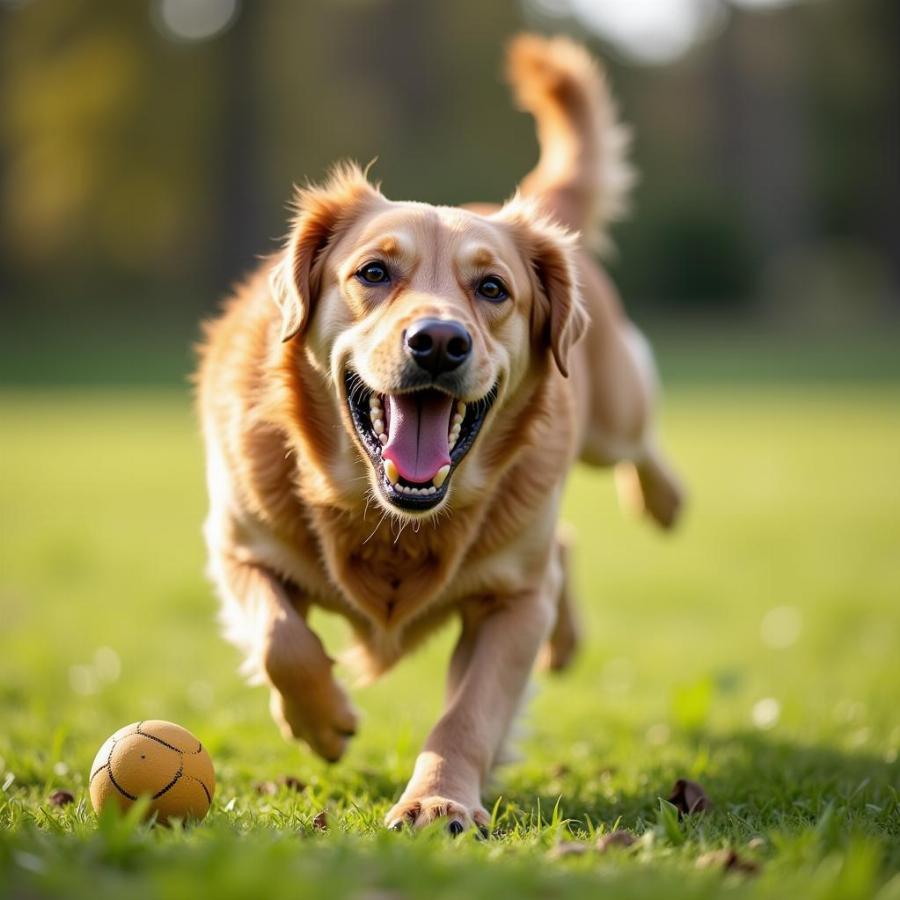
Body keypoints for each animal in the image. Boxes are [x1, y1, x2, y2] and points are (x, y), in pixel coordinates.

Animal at [197, 37, 684, 836]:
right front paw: (322, 722)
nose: (438, 342)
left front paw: (438, 800)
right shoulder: (237, 543)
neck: (389, 520)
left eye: (492, 290)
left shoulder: (511, 603)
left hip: (611, 419)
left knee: (635, 450)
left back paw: (662, 502)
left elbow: (469, 713)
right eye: (373, 272)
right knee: (566, 545)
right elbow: (280, 639)